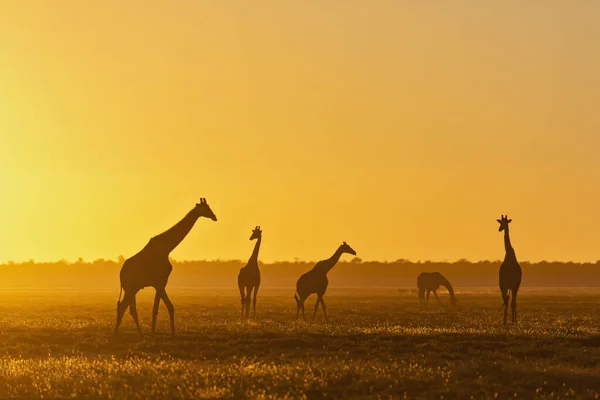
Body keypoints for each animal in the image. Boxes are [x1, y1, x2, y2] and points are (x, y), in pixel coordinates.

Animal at [113, 198, 217, 338]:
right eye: (206, 208)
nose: (214, 217)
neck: (167, 248)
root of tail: (121, 274)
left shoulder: (159, 284)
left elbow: (156, 309)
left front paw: (153, 333)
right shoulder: (161, 282)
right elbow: (168, 307)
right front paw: (172, 334)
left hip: (133, 288)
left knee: (129, 309)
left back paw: (139, 334)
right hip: (130, 288)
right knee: (123, 307)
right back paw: (117, 334)